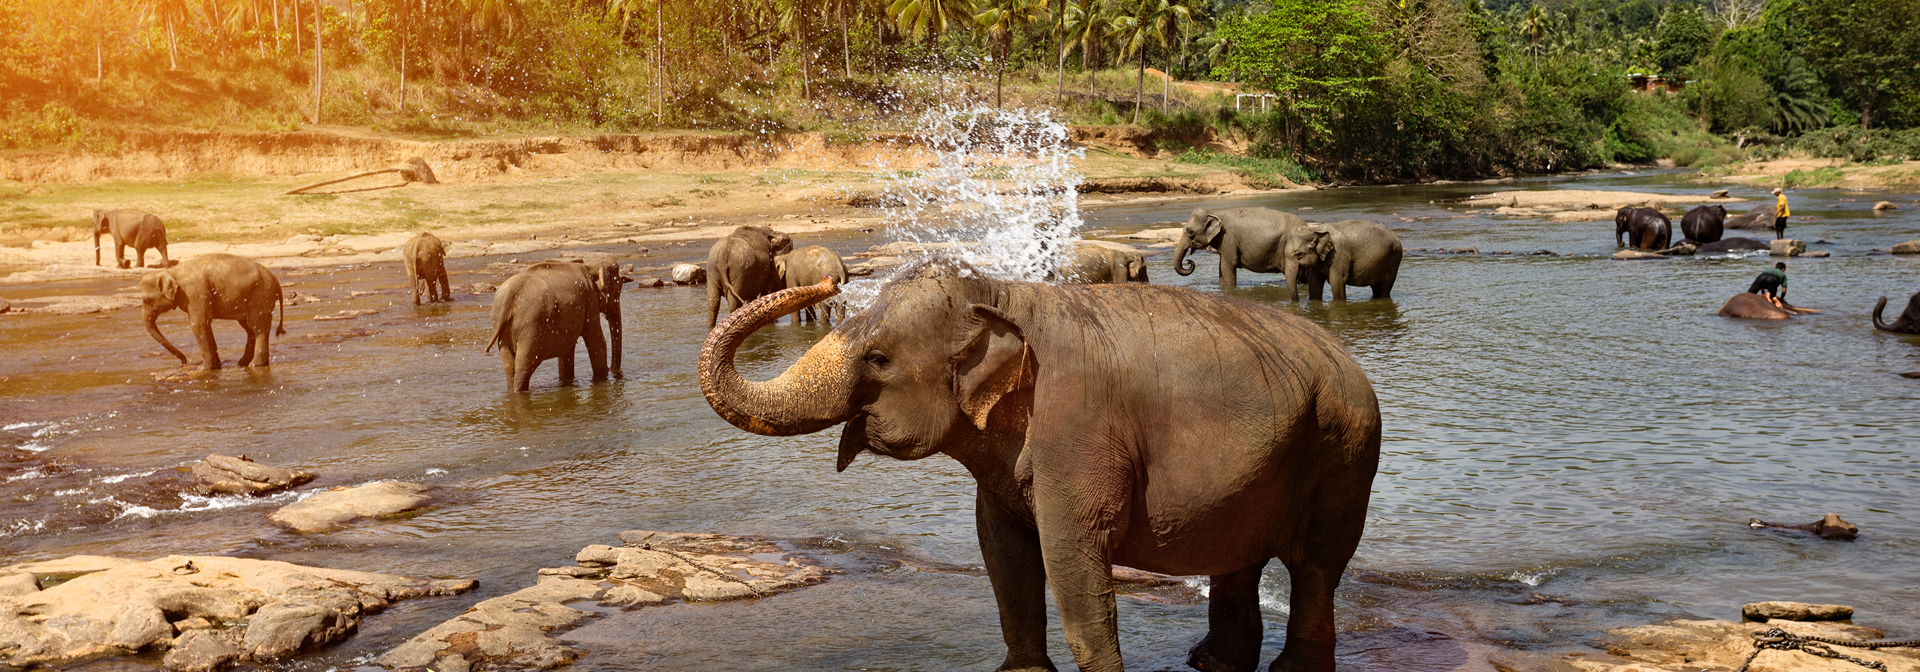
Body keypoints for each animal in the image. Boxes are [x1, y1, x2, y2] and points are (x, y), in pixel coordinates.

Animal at [140, 253, 286, 370]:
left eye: (146, 300)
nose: (184, 361)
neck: (170, 271)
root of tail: (274, 277)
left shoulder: (195, 293)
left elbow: (198, 324)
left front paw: (203, 368)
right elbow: (203, 324)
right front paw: (215, 367)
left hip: (261, 296)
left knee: (258, 327)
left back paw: (255, 365)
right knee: (249, 328)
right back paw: (242, 363)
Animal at [486, 260, 619, 391]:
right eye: (619, 287)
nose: (612, 369)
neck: (590, 266)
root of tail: (511, 293)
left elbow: (567, 350)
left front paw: (567, 381)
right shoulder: (590, 300)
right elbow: (597, 341)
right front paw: (602, 379)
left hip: (502, 326)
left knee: (509, 366)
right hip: (532, 326)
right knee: (525, 364)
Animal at [697, 260, 1381, 672]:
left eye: (878, 358)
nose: (827, 283)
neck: (1000, 295)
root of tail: (1349, 360)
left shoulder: (1077, 430)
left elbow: (1071, 555)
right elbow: (1004, 555)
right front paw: (1022, 671)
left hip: (1346, 449)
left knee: (1316, 567)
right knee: (1239, 560)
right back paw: (1209, 662)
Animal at [1173, 207, 1307, 290]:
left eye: (1190, 231)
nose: (1189, 261)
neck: (1216, 212)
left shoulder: (1228, 238)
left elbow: (1227, 266)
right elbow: (1221, 267)